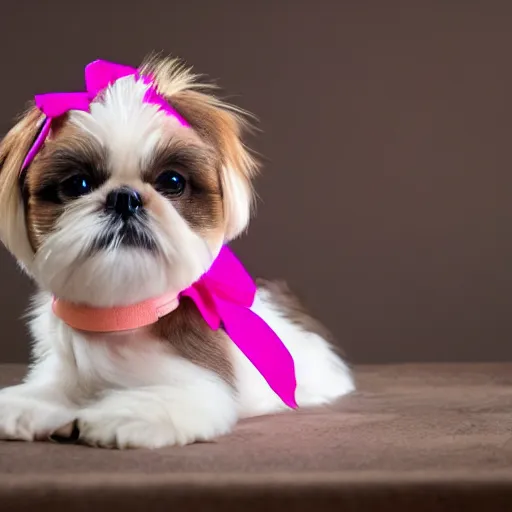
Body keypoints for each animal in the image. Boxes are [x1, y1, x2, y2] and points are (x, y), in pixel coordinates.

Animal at [0, 57, 354, 448]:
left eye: (172, 181)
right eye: (78, 184)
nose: (124, 197)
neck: (120, 315)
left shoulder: (199, 384)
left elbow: (167, 398)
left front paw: (124, 416)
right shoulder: (65, 372)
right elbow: (49, 391)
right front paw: (24, 405)